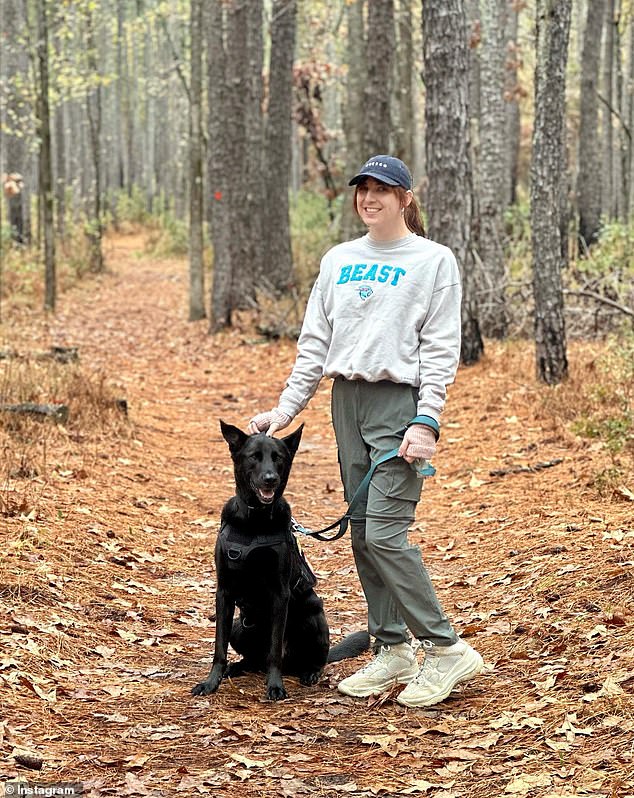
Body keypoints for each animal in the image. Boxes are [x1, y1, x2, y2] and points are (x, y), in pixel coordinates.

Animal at [190, 422, 368, 704]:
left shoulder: (279, 593)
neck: (254, 521)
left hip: (312, 615)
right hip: (239, 628)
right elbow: (219, 647)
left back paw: (309, 673)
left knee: (310, 659)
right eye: (254, 456)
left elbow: (275, 649)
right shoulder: (224, 592)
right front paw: (211, 682)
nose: (270, 478)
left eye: (278, 458)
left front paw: (275, 686)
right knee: (253, 660)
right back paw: (236, 667)